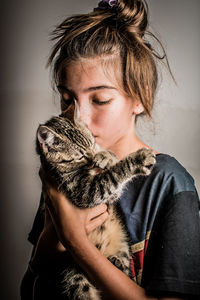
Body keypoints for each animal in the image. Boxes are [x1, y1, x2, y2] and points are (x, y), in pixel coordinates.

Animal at [35, 103, 155, 300]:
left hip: (123, 246)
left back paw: (115, 262)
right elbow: (113, 175)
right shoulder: (86, 191)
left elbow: (111, 168)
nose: (92, 157)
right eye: (80, 156)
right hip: (73, 274)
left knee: (125, 270)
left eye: (91, 143)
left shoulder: (110, 197)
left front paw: (106, 156)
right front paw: (137, 159)